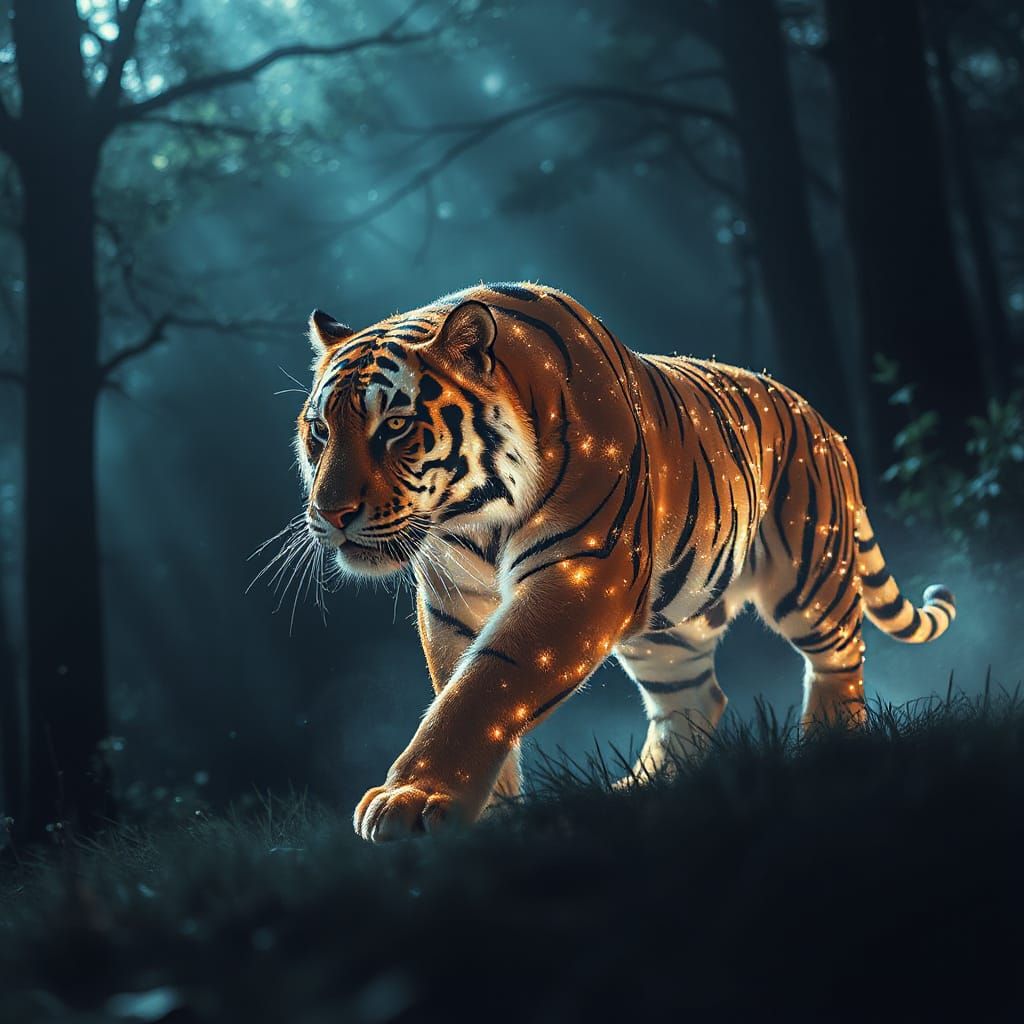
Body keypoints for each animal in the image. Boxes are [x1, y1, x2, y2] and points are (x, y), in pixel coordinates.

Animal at [294, 281, 956, 842]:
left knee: (838, 659)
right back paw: (637, 792)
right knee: (693, 698)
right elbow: (460, 689)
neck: (472, 521)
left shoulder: (582, 574)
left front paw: (413, 800)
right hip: (665, 628)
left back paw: (829, 747)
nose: (330, 513)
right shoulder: (453, 603)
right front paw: (488, 815)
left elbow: (484, 686)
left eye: (395, 426)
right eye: (320, 432)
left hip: (810, 574)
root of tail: (821, 422)